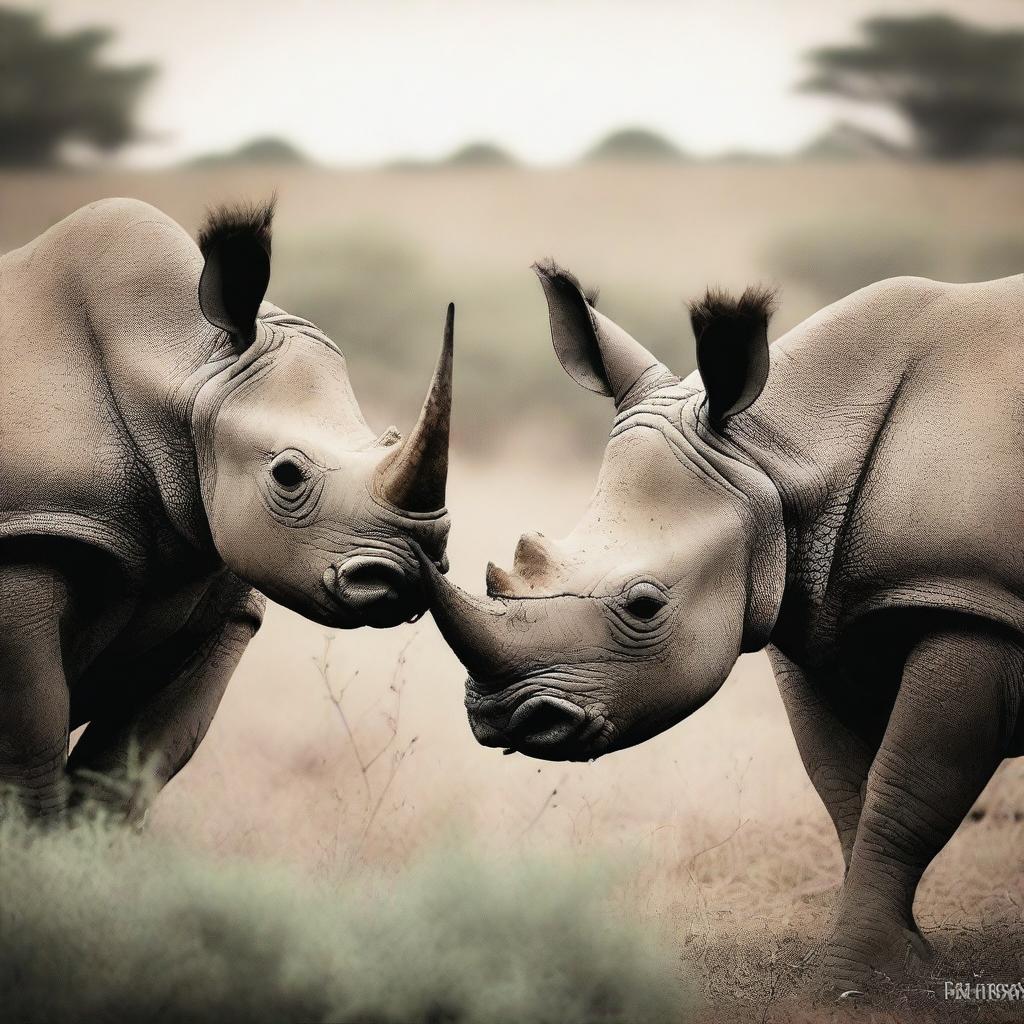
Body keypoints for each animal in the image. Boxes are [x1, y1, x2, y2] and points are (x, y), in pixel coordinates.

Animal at [0, 199, 452, 819]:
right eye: (287, 474)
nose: (402, 579)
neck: (185, 372)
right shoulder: (27, 537)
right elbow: (29, 758)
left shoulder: (223, 585)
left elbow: (128, 768)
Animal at [421, 264, 1024, 991]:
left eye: (644, 605)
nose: (500, 718)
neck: (780, 455)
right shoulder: (819, 611)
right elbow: (846, 789)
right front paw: (893, 965)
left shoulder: (974, 600)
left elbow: (907, 791)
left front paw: (856, 974)